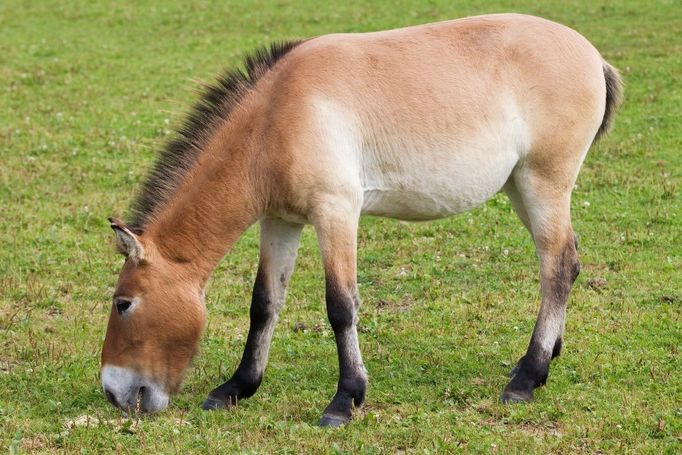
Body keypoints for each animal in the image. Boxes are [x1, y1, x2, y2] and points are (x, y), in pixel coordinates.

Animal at [99, 13, 620, 428]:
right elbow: (264, 303)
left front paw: (344, 401)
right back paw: (543, 358)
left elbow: (340, 306)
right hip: (520, 187)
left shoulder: (336, 212)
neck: (276, 115)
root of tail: (593, 57)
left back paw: (527, 378)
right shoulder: (280, 221)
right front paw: (236, 387)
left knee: (557, 266)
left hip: (543, 182)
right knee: (564, 263)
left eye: (124, 303)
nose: (113, 392)